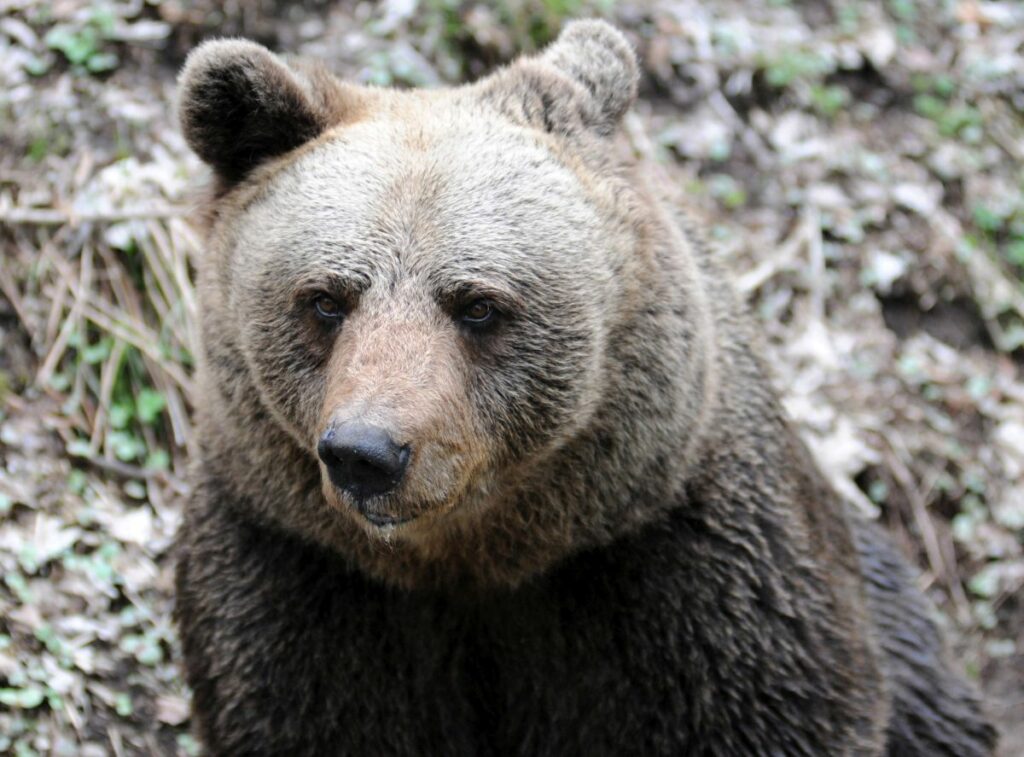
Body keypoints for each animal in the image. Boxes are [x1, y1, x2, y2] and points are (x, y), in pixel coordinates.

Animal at [174, 20, 997, 756]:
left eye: (478, 304)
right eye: (325, 299)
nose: (366, 452)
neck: (476, 559)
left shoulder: (689, 577)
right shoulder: (302, 578)